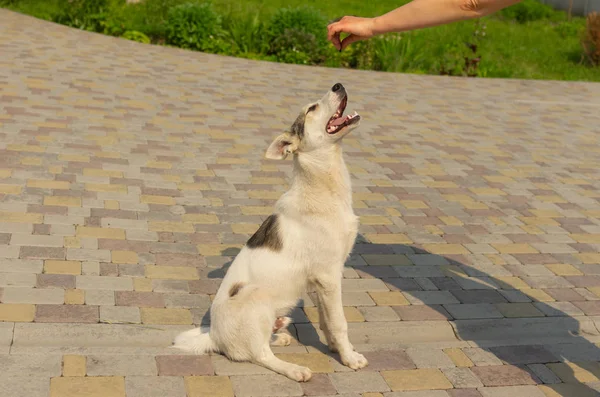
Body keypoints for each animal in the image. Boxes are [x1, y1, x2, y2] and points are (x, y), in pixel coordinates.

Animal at [172, 83, 366, 380]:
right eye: (312, 108)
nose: (338, 85)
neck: (322, 187)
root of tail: (214, 336)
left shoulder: (319, 281)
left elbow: (325, 320)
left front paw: (335, 348)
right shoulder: (329, 276)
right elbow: (338, 322)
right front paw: (349, 357)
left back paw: (279, 333)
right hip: (257, 297)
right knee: (260, 355)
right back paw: (294, 369)